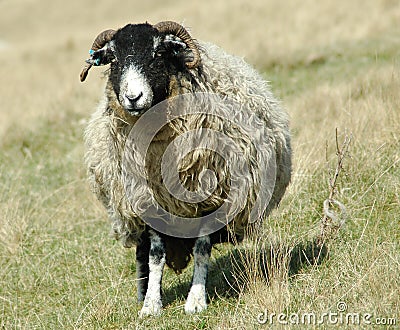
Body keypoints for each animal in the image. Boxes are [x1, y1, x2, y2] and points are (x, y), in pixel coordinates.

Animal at [79, 20, 290, 318]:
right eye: (114, 59)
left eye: (158, 54)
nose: (133, 97)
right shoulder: (149, 202)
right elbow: (155, 256)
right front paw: (151, 305)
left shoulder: (211, 197)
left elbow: (202, 249)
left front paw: (196, 301)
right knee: (142, 253)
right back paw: (142, 293)